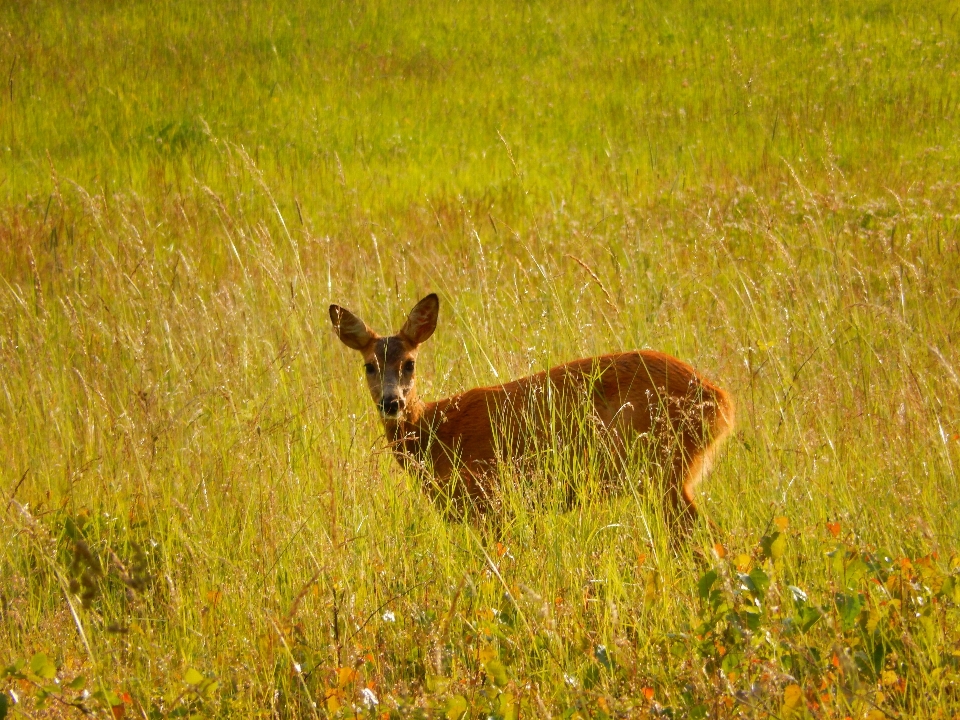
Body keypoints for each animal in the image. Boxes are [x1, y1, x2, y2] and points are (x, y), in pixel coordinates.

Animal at [330, 292, 736, 536]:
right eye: (369, 366)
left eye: (410, 363)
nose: (391, 402)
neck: (437, 431)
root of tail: (722, 402)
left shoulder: (487, 498)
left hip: (663, 467)